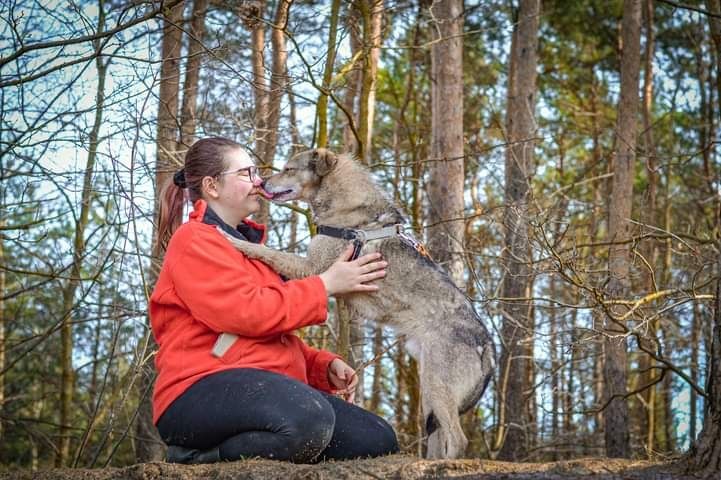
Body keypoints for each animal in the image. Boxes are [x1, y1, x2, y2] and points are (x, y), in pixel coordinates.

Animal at [222, 148, 496, 460]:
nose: (262, 182)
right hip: (430, 391)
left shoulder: (311, 268)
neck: (345, 207)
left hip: (438, 385)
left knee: (458, 439)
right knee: (440, 438)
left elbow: (269, 251)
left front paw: (233, 240)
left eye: (288, 168)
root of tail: (488, 346)